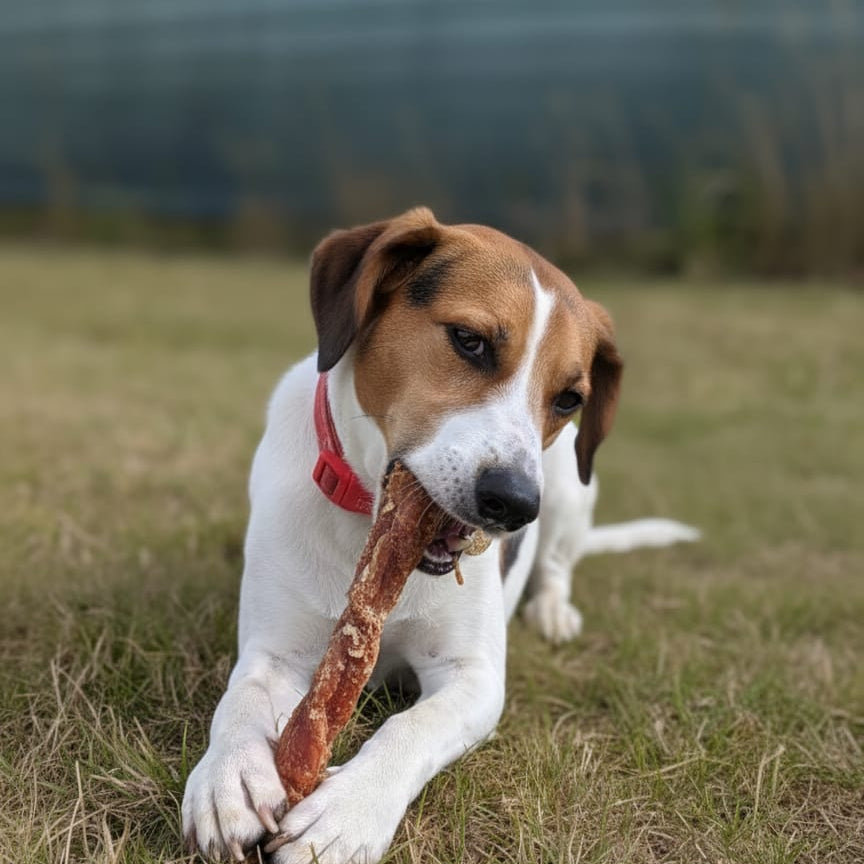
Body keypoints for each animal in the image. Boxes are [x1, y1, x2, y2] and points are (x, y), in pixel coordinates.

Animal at [182, 207, 699, 863]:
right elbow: (240, 698)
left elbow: (409, 727)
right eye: (469, 341)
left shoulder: (473, 677)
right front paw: (229, 778)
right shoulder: (275, 651)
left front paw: (346, 813)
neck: (373, 534)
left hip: (570, 486)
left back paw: (552, 611)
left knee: (556, 564)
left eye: (568, 398)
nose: (513, 505)